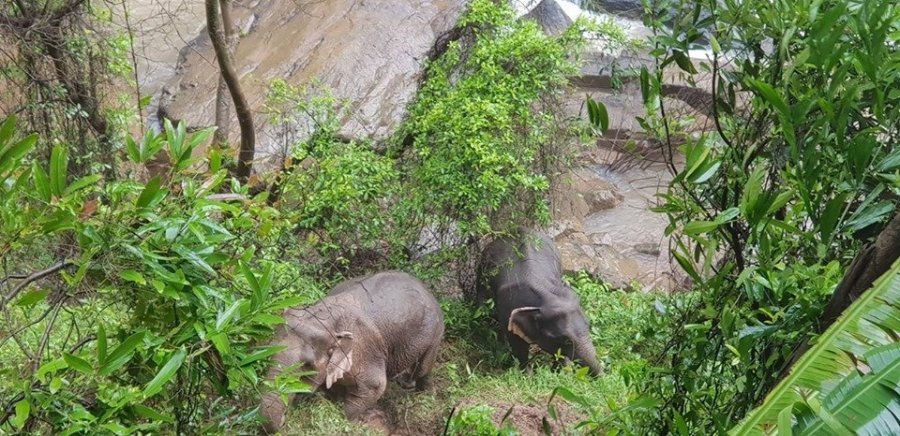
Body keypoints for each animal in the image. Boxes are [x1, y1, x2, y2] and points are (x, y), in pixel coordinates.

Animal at [258, 270, 444, 434]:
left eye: (307, 365)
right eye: (268, 353)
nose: (284, 420)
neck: (325, 319)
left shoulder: (365, 352)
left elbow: (375, 386)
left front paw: (350, 422)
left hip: (435, 333)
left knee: (423, 368)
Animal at [474, 230, 600, 376]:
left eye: (589, 325)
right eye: (565, 339)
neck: (545, 294)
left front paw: (557, 372)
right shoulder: (508, 310)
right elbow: (518, 347)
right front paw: (527, 376)